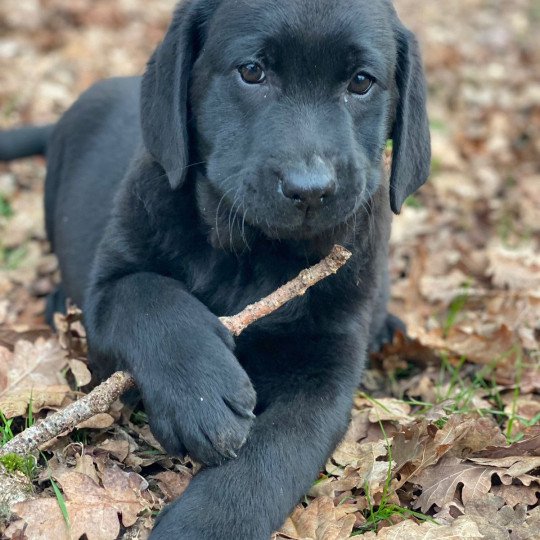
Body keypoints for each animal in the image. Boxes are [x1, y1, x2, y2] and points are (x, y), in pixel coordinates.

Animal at [0, 0, 430, 536]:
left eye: (361, 82)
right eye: (252, 72)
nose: (310, 190)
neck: (253, 255)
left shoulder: (326, 367)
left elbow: (273, 457)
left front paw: (205, 524)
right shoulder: (108, 289)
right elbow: (149, 295)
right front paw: (202, 394)